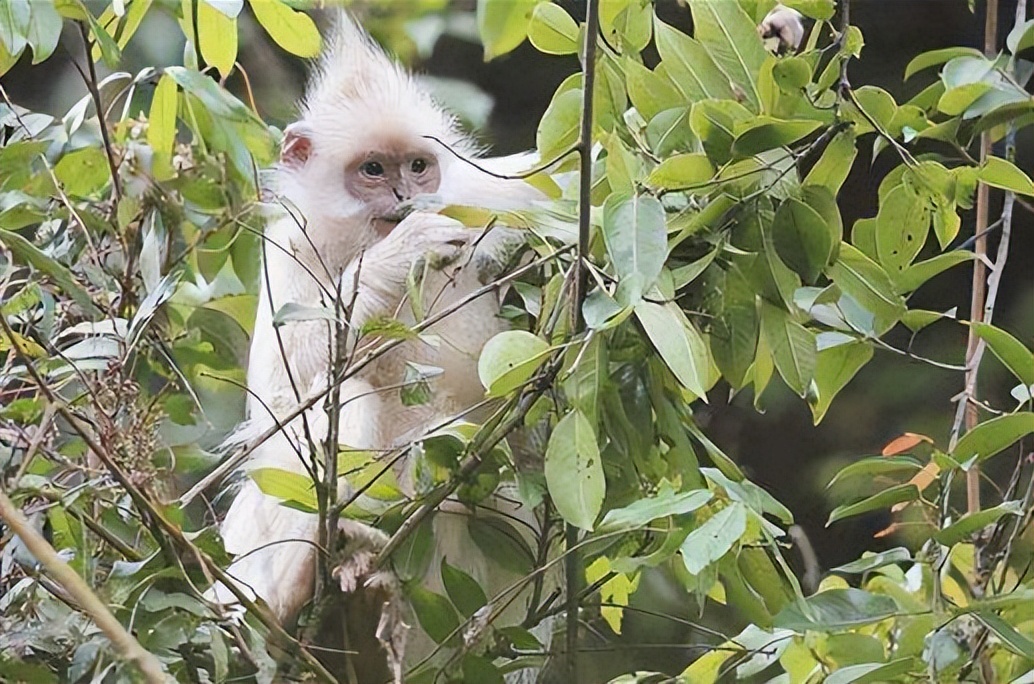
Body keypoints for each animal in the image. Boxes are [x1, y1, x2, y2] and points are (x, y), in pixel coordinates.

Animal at [207, 10, 541, 665]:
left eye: (416, 166)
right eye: (372, 171)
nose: (406, 198)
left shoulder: (483, 196)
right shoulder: (287, 246)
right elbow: (278, 400)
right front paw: (400, 254)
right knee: (339, 394)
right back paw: (296, 594)